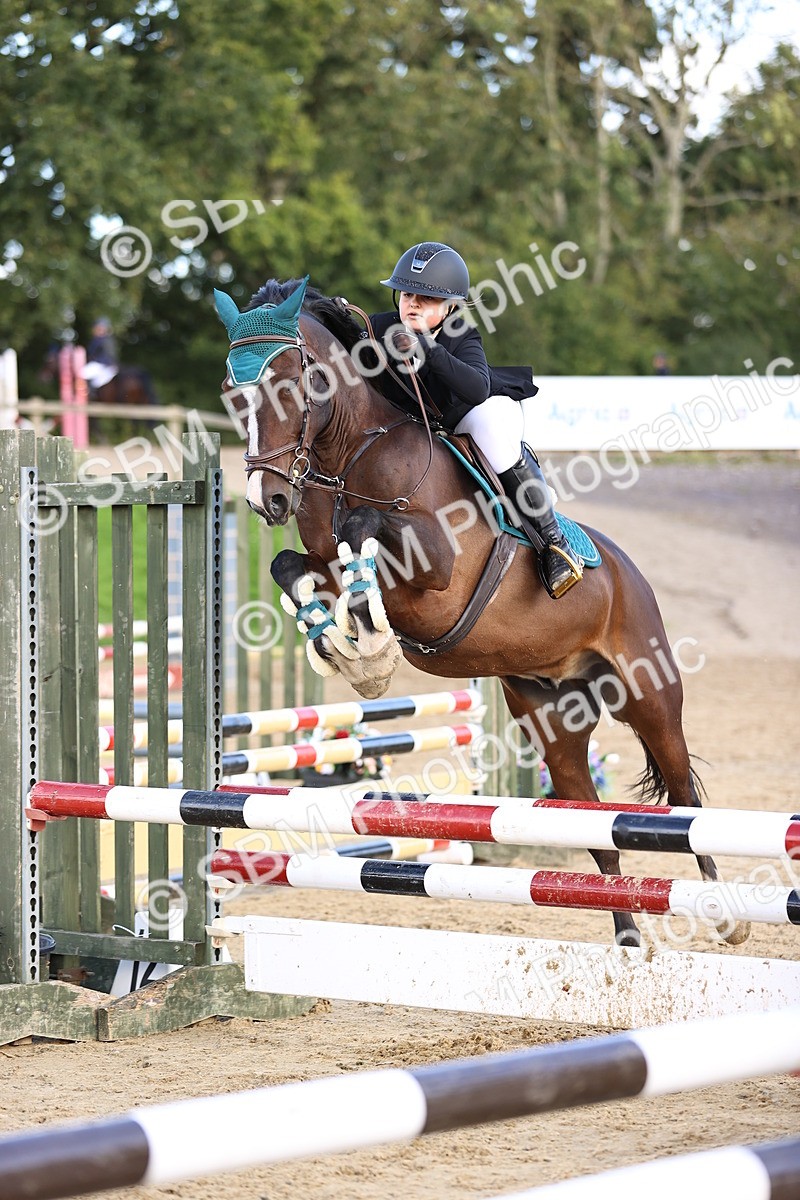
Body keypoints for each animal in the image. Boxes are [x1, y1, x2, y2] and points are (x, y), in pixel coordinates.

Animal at [215, 276, 750, 949]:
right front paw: (349, 652)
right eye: (231, 391)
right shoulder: (322, 561)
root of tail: (629, 571)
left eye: (292, 382)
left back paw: (725, 915)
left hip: (648, 695)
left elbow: (364, 530)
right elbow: (292, 567)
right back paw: (627, 940)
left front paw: (371, 650)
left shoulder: (435, 567)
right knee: (594, 829)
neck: (353, 455)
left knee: (685, 797)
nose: (269, 499)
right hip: (554, 723)